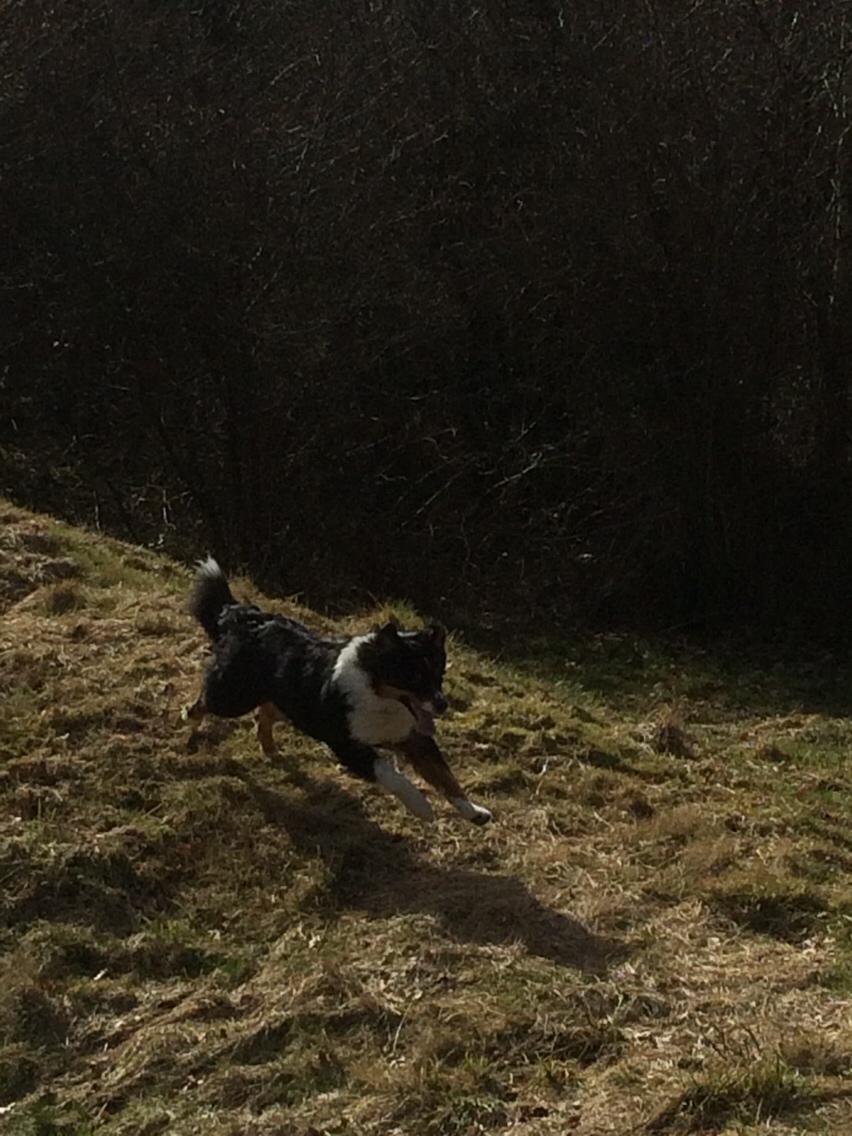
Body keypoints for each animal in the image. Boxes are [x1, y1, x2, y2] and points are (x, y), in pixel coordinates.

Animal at [185, 558, 493, 827]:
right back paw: (191, 719)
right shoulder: (347, 744)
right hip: (232, 698)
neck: (377, 694)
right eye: (414, 678)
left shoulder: (413, 737)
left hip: (288, 702)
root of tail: (241, 616)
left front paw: (474, 812)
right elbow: (390, 773)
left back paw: (269, 747)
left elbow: (446, 777)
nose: (442, 705)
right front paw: (422, 808)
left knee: (266, 712)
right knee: (205, 701)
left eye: (439, 677)